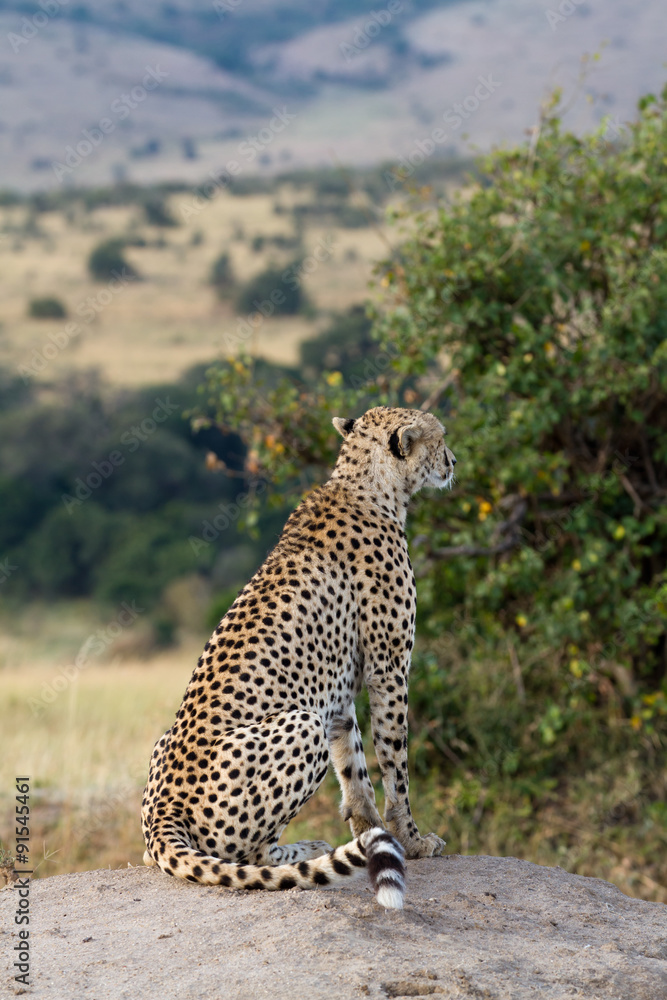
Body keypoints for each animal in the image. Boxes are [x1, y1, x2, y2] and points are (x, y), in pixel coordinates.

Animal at [141, 405, 457, 909]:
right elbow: (395, 762)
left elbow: (354, 764)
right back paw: (305, 850)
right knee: (249, 855)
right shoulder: (389, 668)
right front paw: (411, 839)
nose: (453, 461)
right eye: (439, 438)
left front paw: (371, 834)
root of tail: (161, 813)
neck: (366, 484)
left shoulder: (341, 688)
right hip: (302, 725)